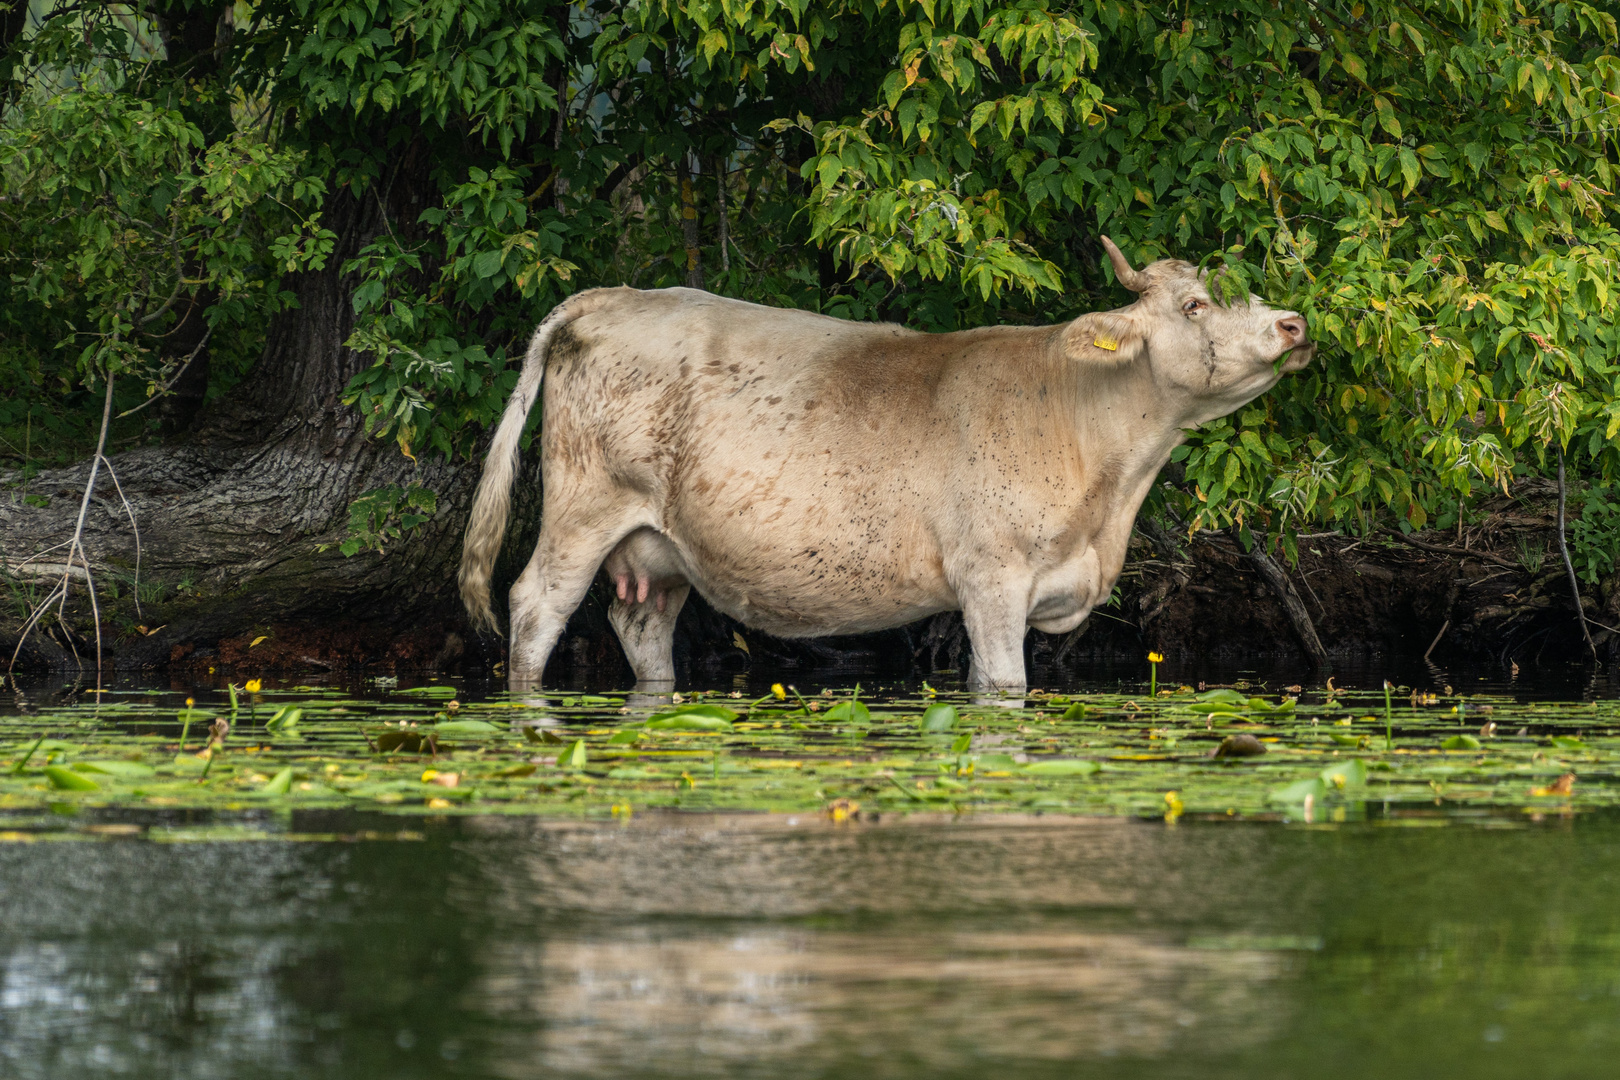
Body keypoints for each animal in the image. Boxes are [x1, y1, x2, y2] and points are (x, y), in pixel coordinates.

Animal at [460, 239, 1315, 689]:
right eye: (1194, 306)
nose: (1294, 323)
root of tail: (613, 296)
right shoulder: (992, 577)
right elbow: (1002, 686)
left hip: (659, 548)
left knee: (640, 625)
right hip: (583, 508)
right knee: (535, 607)